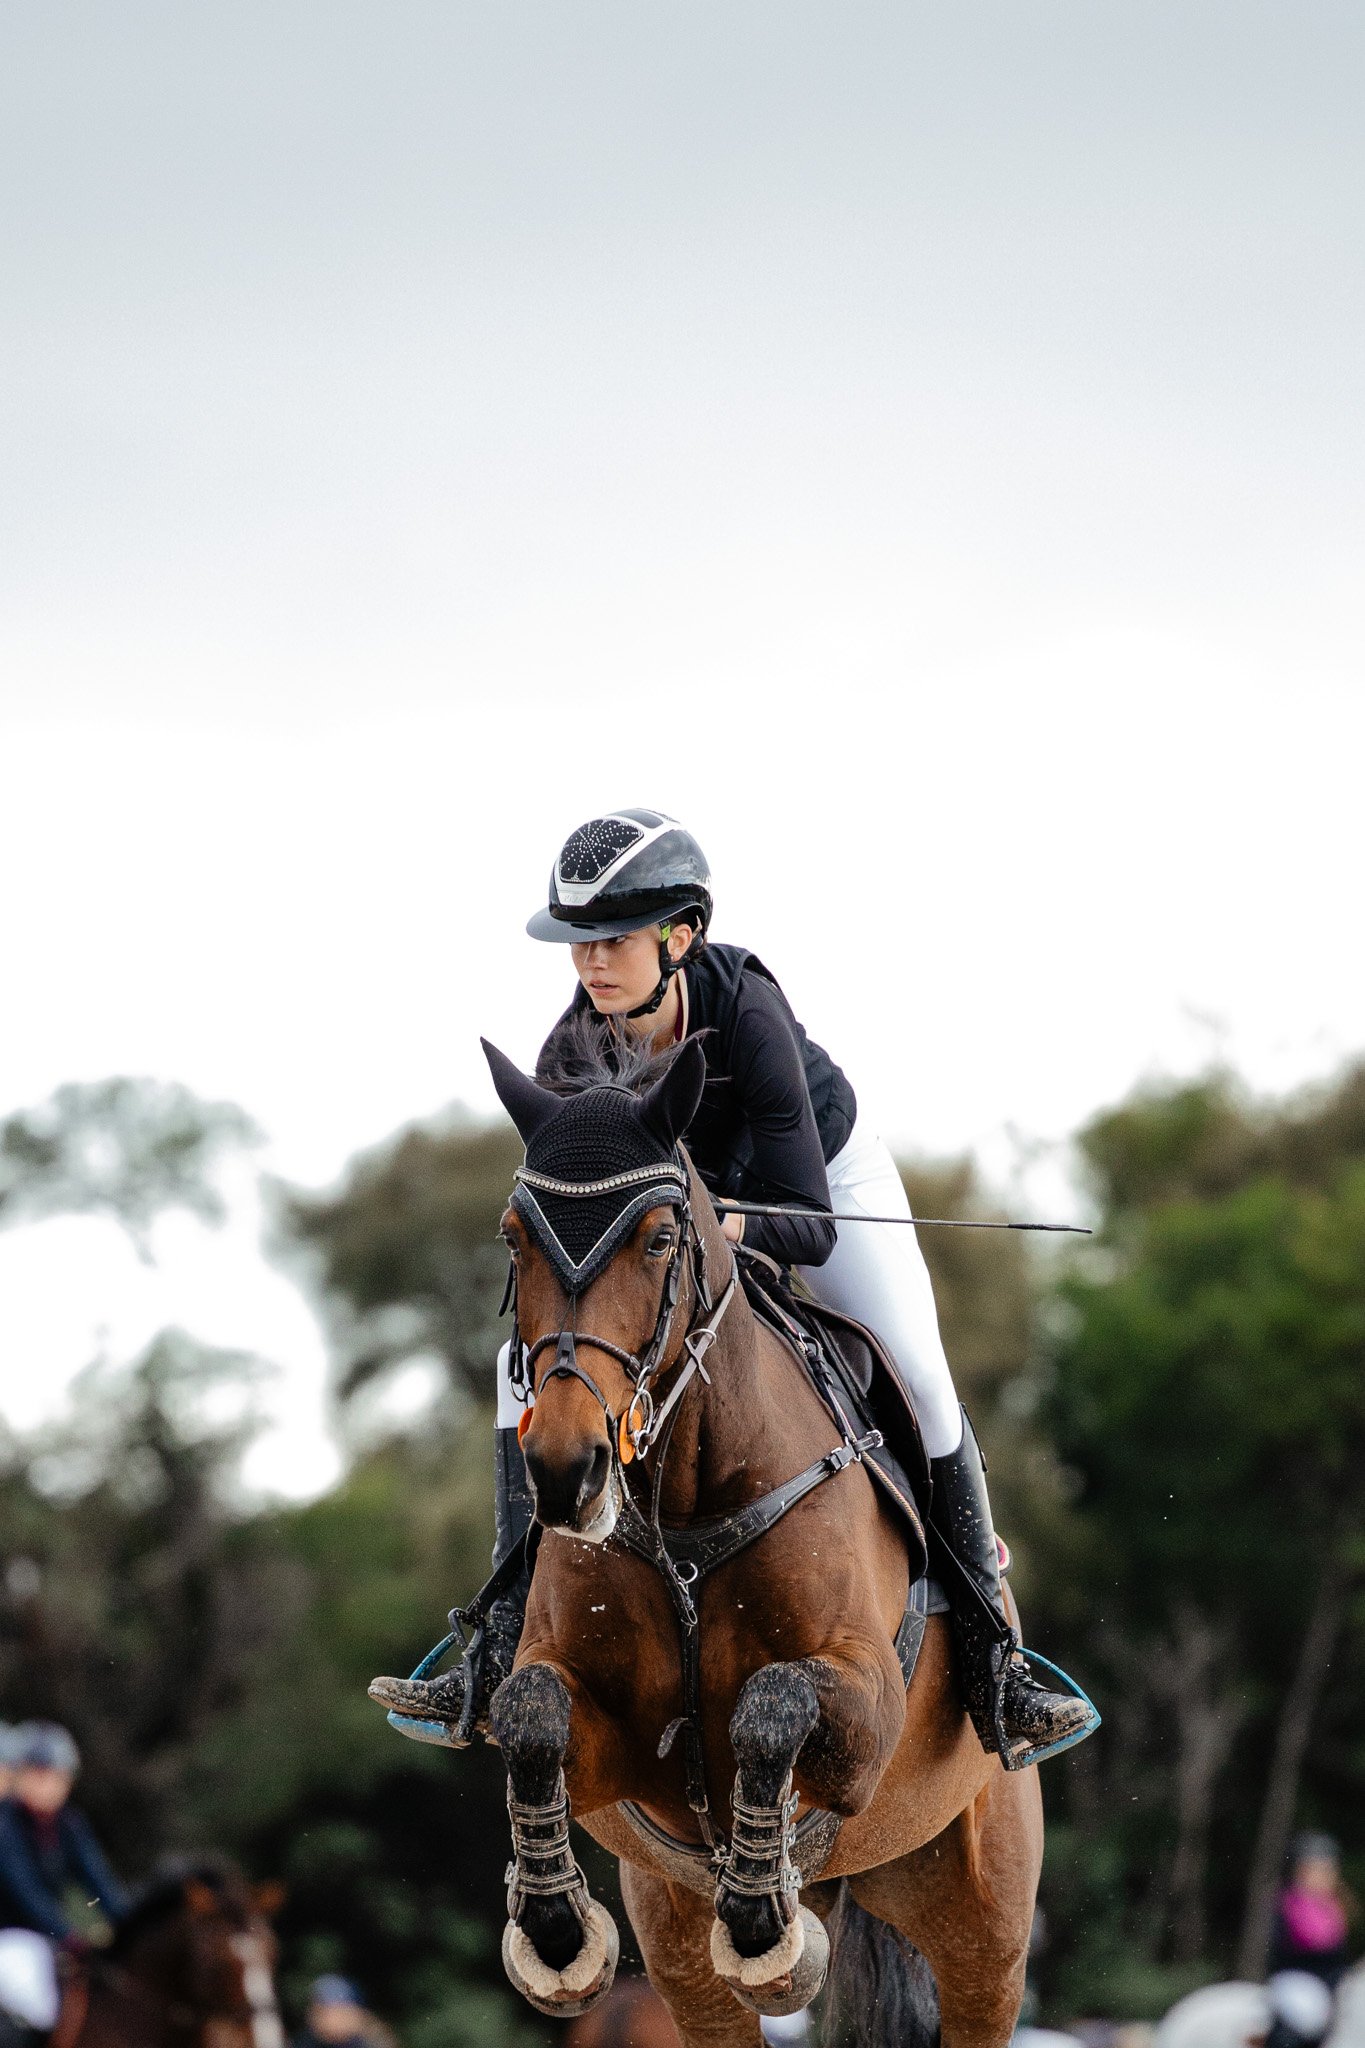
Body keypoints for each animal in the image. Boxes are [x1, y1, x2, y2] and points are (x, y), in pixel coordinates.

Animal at [377, 1036, 1045, 2048]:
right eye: (512, 1237)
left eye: (658, 1239)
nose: (567, 1473)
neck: (685, 1509)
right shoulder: (609, 1745)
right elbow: (531, 1712)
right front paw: (556, 1929)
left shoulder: (865, 1709)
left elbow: (771, 1704)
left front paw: (764, 1915)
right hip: (677, 1941)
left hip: (983, 1928)